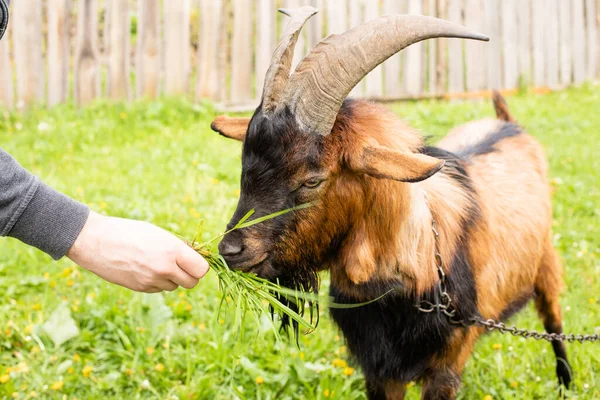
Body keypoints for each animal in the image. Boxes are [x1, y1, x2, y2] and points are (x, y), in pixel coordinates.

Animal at [212, 7, 572, 398]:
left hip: (546, 265)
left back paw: (566, 382)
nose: (231, 250)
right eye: (244, 163)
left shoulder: (445, 368)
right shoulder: (380, 371)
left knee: (554, 323)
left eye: (312, 180)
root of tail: (507, 124)